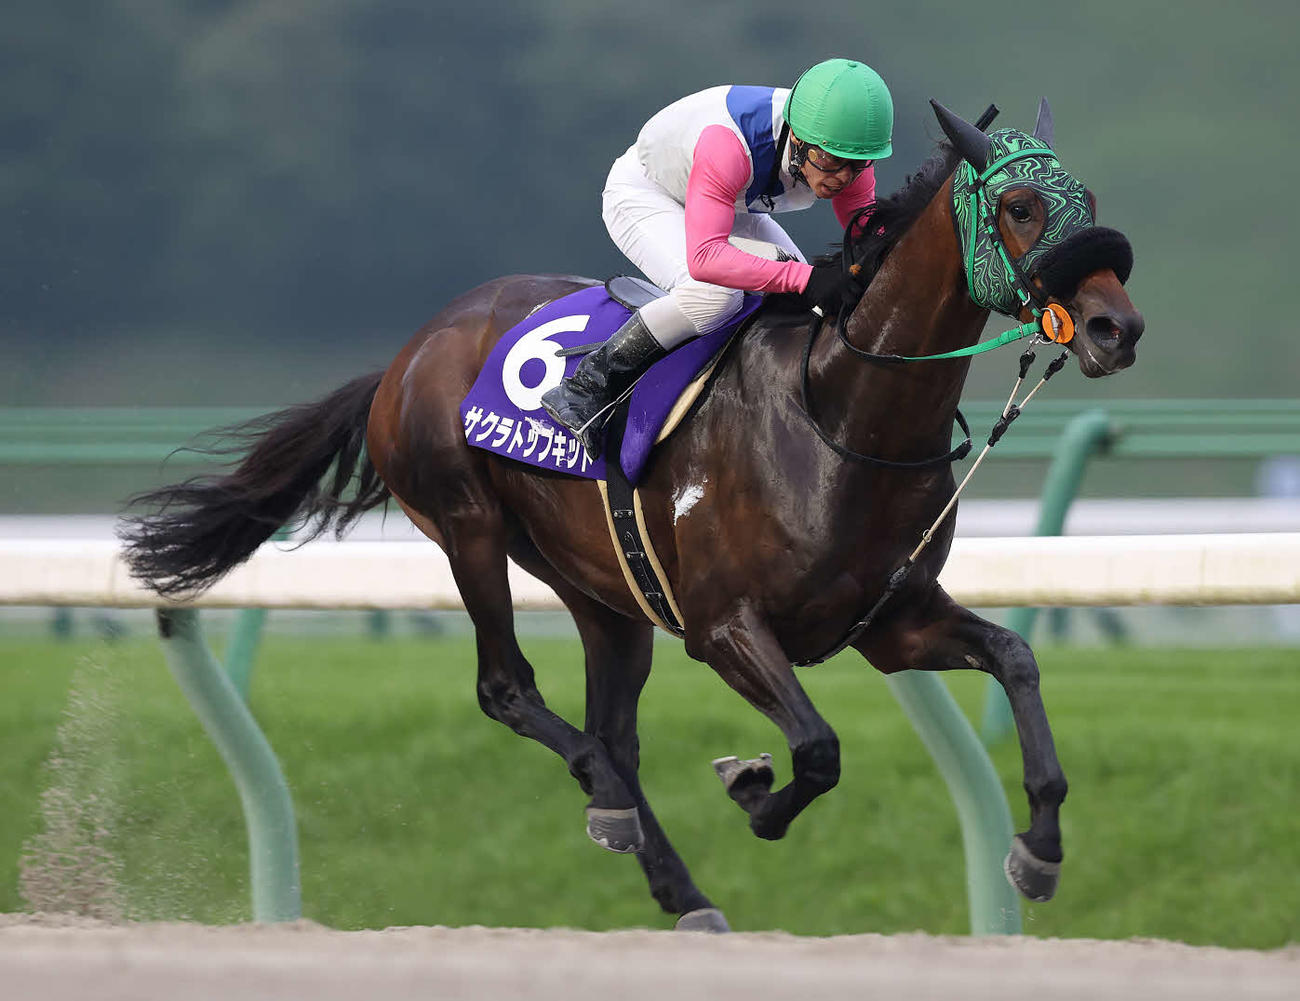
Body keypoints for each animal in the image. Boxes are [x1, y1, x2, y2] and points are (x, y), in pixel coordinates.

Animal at [122, 100, 1143, 932]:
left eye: (1087, 196)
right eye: (1021, 207)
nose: (1116, 328)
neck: (842, 417)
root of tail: (409, 352)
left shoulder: (890, 622)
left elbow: (1016, 658)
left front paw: (1040, 848)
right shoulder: (725, 626)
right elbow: (816, 750)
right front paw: (754, 789)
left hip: (604, 590)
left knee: (613, 729)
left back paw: (677, 884)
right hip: (468, 527)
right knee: (510, 690)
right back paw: (607, 797)